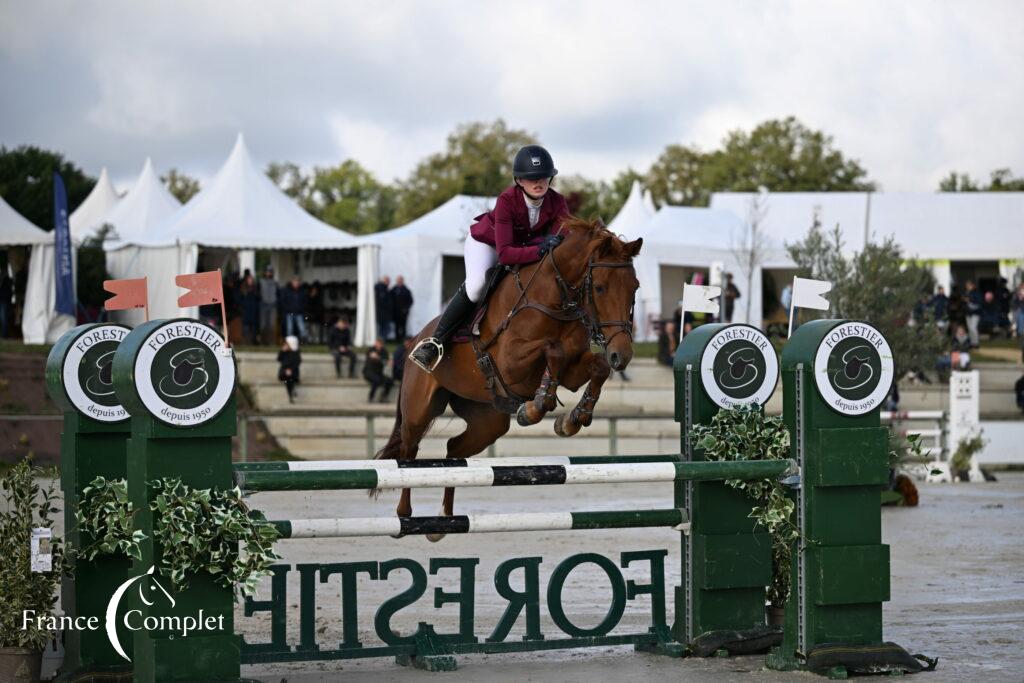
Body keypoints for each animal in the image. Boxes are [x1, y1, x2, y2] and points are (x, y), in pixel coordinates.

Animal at [372, 219, 643, 540]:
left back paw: (444, 520)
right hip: (419, 409)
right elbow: (553, 350)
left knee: (454, 451)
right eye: (599, 288)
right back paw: (404, 515)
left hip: (487, 420)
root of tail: (413, 339)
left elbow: (595, 368)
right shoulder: (511, 365)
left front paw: (572, 418)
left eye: (634, 287)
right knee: (409, 451)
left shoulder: (575, 371)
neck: (555, 300)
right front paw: (535, 407)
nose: (621, 355)